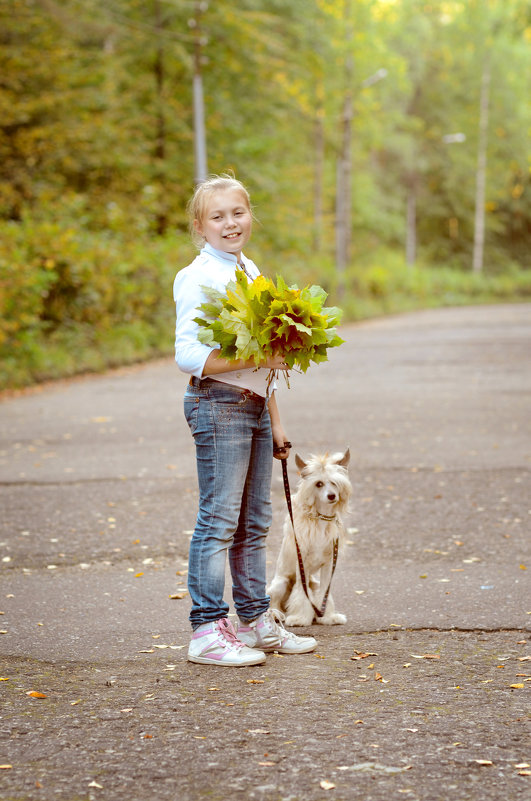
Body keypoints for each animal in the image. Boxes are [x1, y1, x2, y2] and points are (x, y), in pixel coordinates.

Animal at [268, 450, 352, 624]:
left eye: (334, 483)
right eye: (318, 484)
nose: (332, 496)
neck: (320, 520)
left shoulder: (329, 564)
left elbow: (325, 591)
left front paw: (327, 616)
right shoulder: (303, 564)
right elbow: (301, 592)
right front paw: (300, 618)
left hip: (314, 583)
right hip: (281, 584)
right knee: (273, 601)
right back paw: (276, 613)